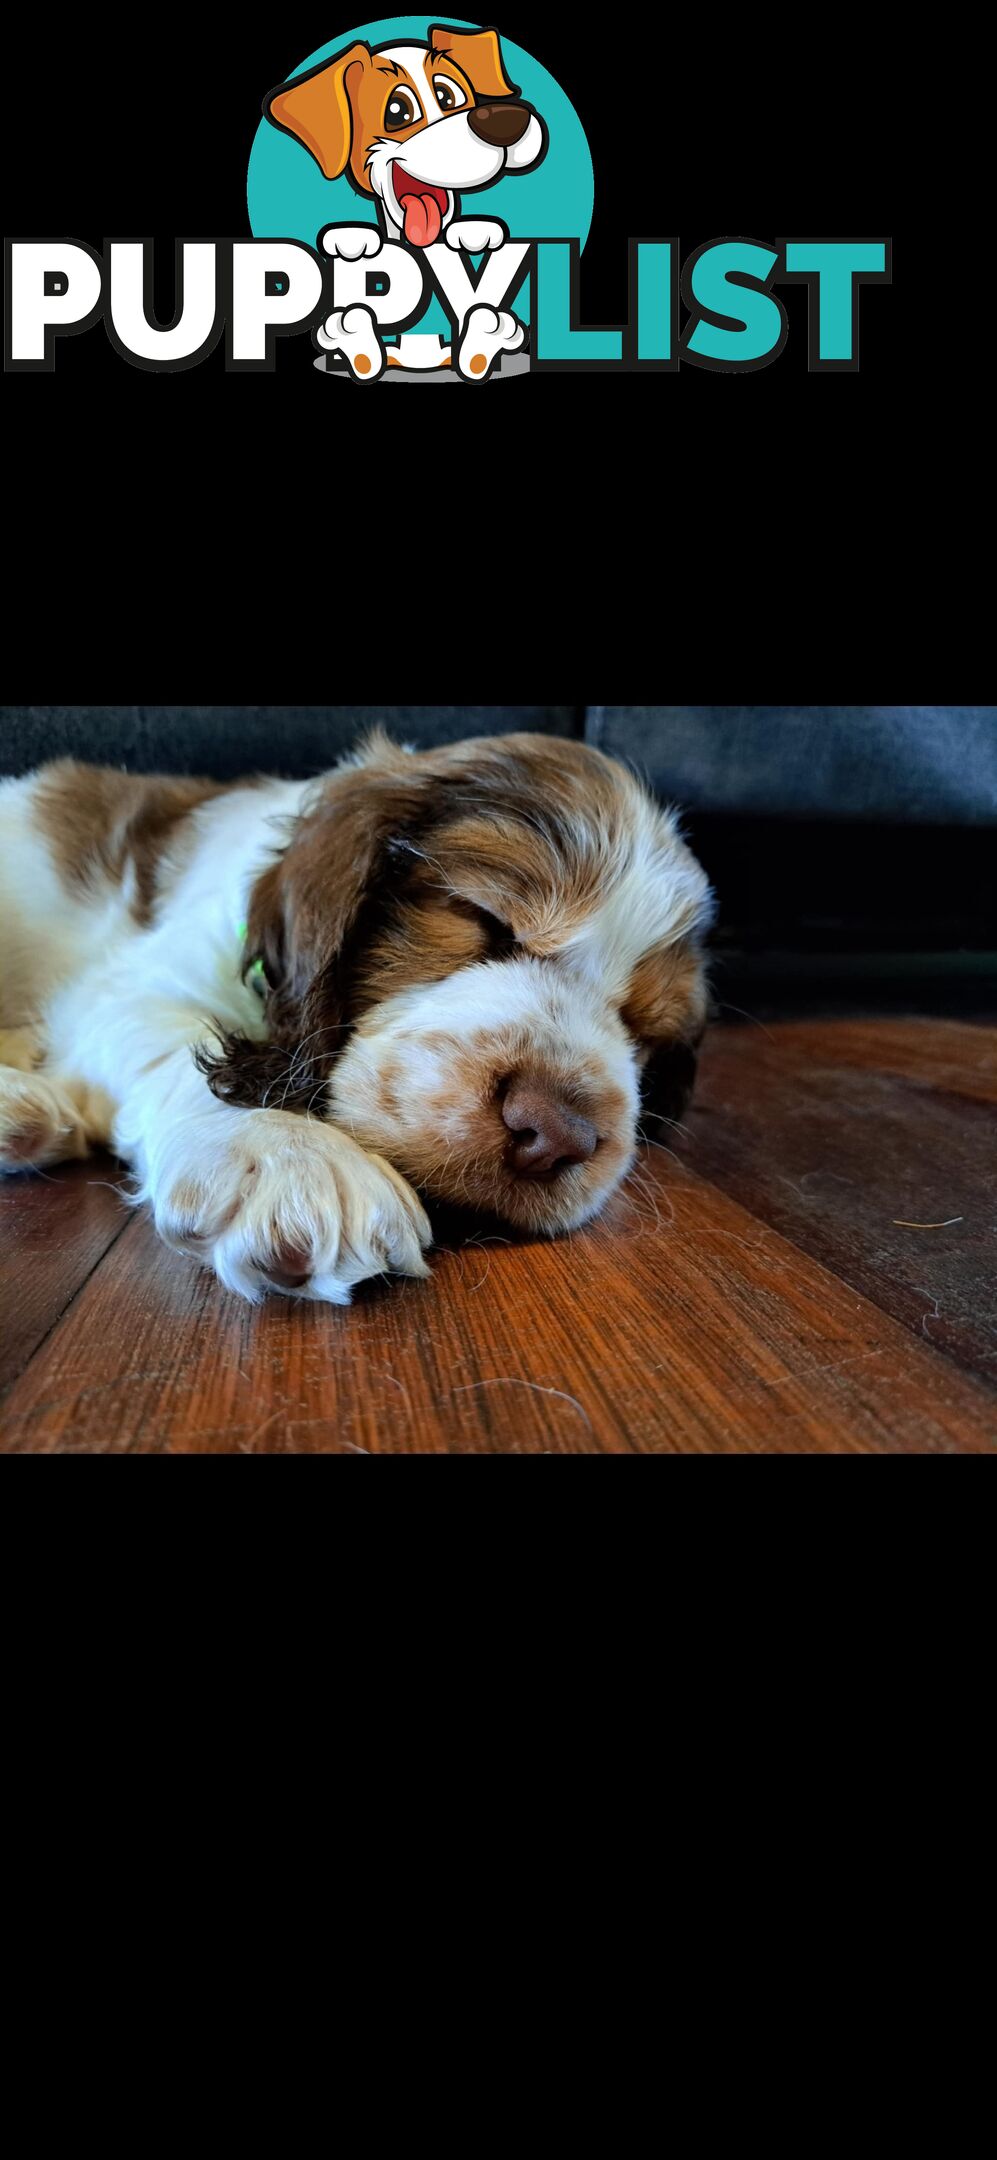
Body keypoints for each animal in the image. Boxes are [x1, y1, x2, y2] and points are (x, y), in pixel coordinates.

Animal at [1, 734, 716, 1304]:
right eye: (484, 918)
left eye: (644, 1030)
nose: (557, 1135)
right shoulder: (129, 986)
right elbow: (179, 1042)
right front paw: (290, 1155)